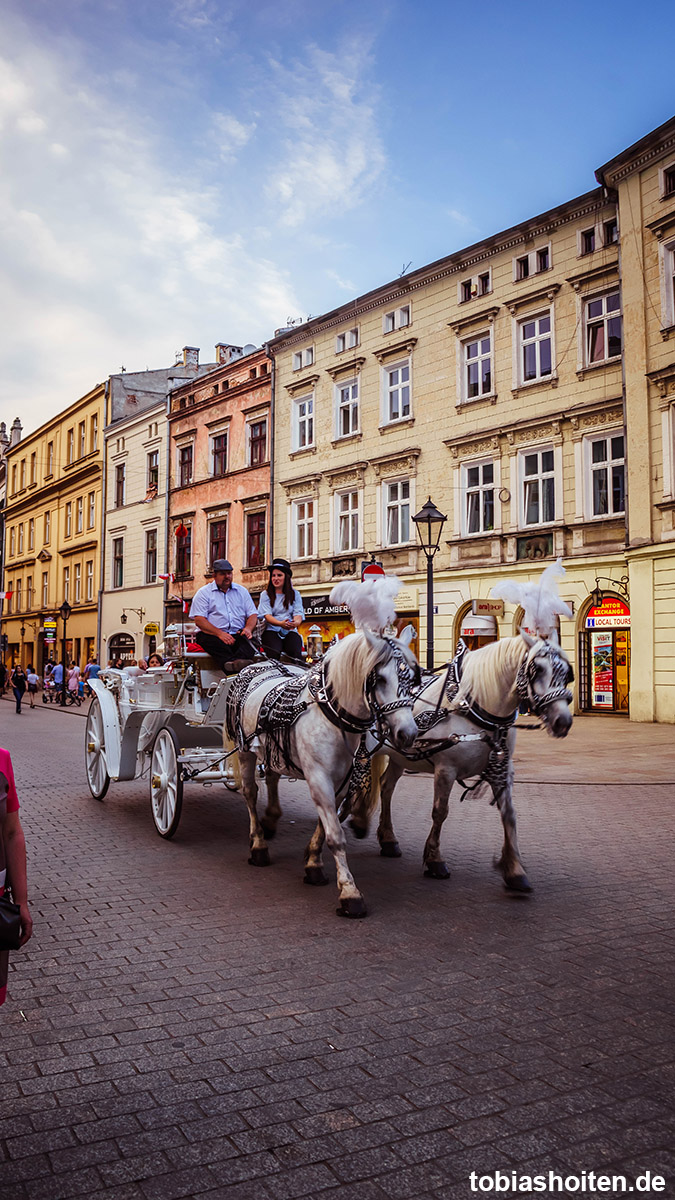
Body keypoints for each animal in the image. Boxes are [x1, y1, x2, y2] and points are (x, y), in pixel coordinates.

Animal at [224, 628, 415, 916]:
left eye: (412, 678)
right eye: (380, 679)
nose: (408, 733)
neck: (333, 716)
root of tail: (260, 662)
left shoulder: (341, 781)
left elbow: (326, 826)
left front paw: (313, 862)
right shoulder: (319, 778)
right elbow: (335, 835)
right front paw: (349, 892)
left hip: (273, 750)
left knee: (272, 777)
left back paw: (271, 819)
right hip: (245, 750)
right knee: (250, 792)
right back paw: (258, 844)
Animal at [345, 628, 571, 892]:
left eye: (565, 672)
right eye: (538, 669)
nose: (563, 721)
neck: (473, 706)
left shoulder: (502, 768)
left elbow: (509, 814)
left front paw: (515, 869)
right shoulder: (446, 769)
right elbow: (440, 812)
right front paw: (435, 860)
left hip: (400, 756)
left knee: (386, 786)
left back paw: (387, 837)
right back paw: (359, 818)